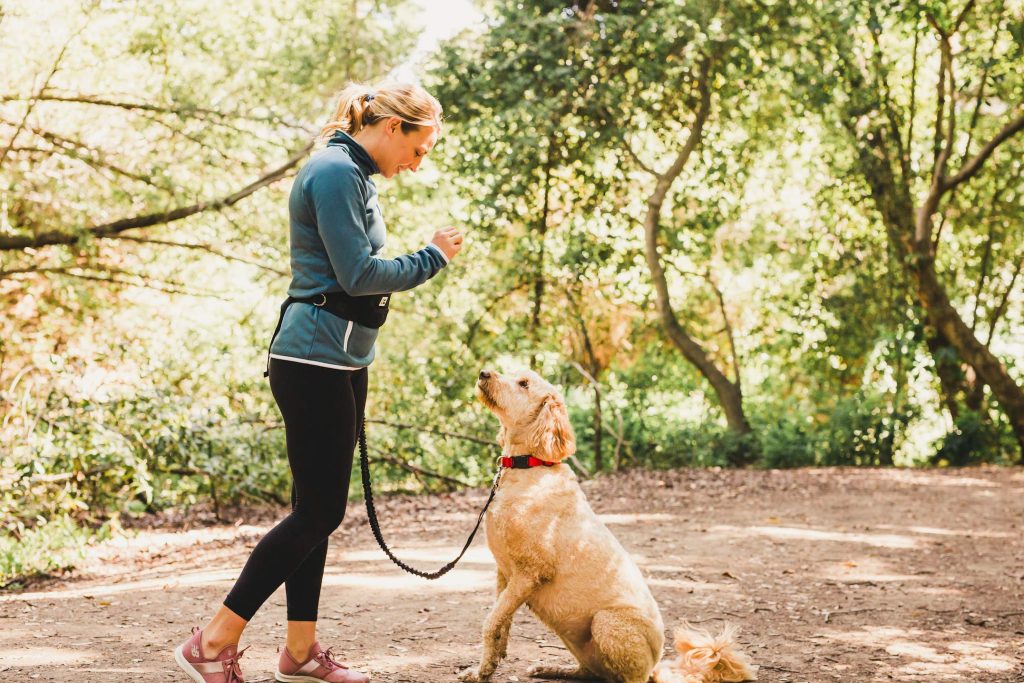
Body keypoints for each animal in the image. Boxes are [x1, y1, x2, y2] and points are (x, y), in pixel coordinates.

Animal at [460, 374, 757, 683]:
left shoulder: (530, 572)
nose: (483, 373)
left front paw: (484, 669)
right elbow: (501, 623)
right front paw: (484, 670)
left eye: (523, 383)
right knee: (589, 671)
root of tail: (655, 666)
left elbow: (490, 622)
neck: (529, 466)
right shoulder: (504, 573)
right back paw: (552, 668)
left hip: (607, 622)